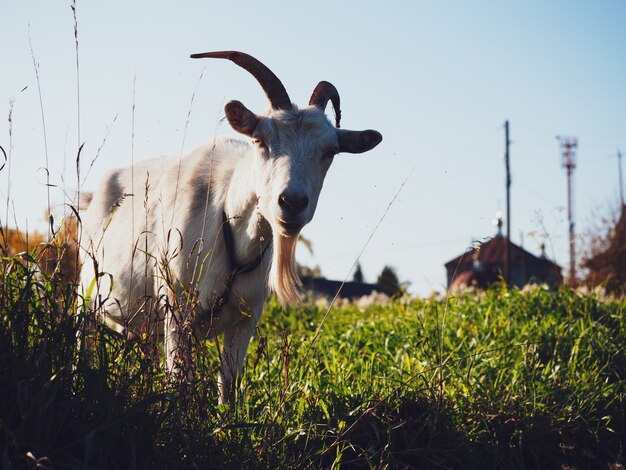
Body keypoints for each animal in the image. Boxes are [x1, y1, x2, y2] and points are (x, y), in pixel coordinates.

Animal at [78, 52, 380, 404]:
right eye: (261, 141)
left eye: (329, 152)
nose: (292, 202)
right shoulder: (177, 310)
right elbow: (180, 382)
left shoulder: (246, 319)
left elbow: (229, 384)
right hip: (87, 292)